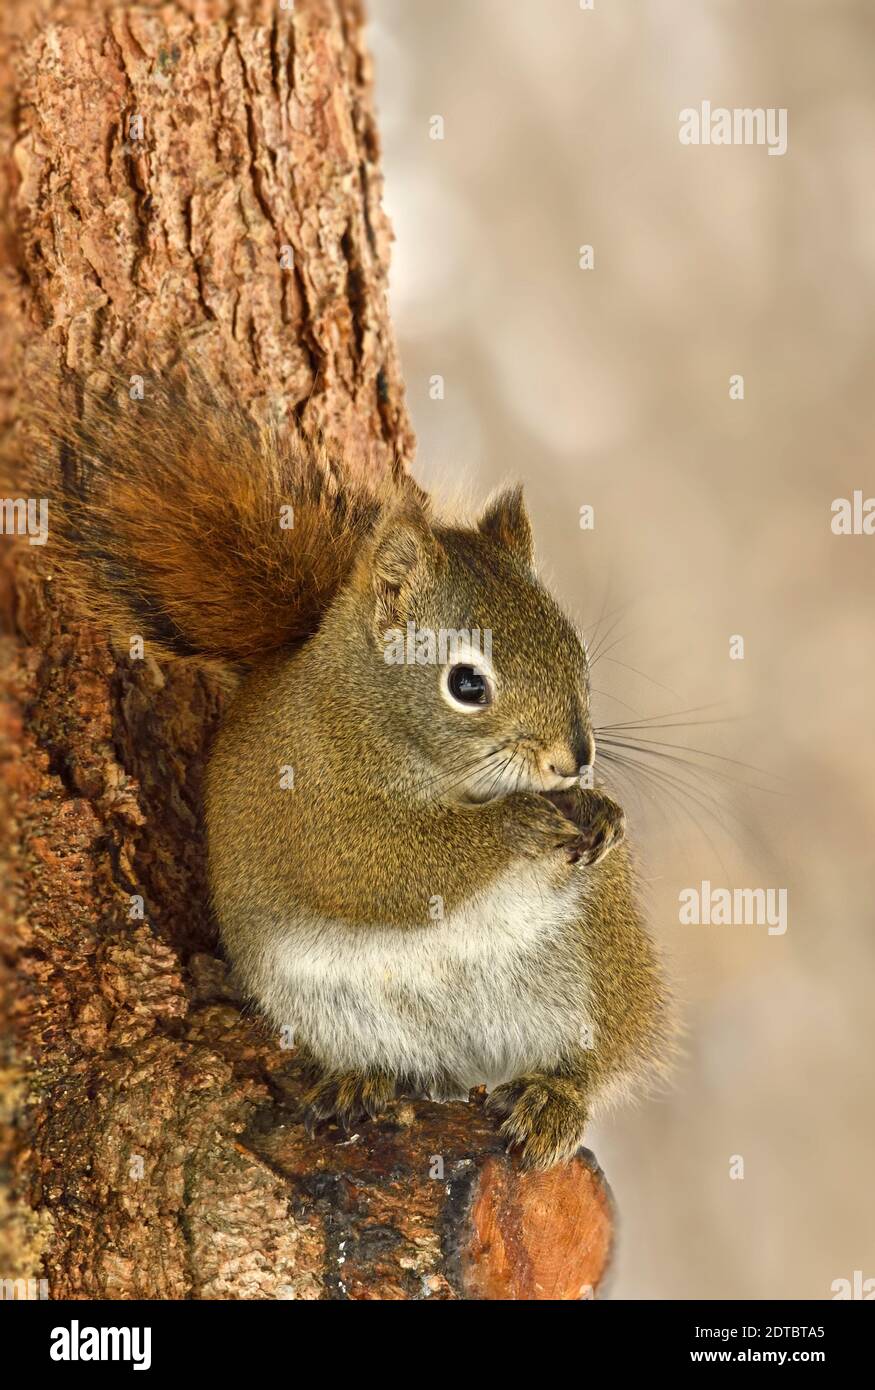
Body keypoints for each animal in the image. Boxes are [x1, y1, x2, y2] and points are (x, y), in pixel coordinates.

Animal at [34, 375, 667, 1167]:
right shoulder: (318, 813)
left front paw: (601, 813)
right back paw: (361, 1080)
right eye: (467, 684)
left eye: (574, 648)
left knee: (587, 1062)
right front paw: (520, 823)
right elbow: (389, 869)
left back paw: (554, 1097)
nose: (573, 759)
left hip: (598, 970)